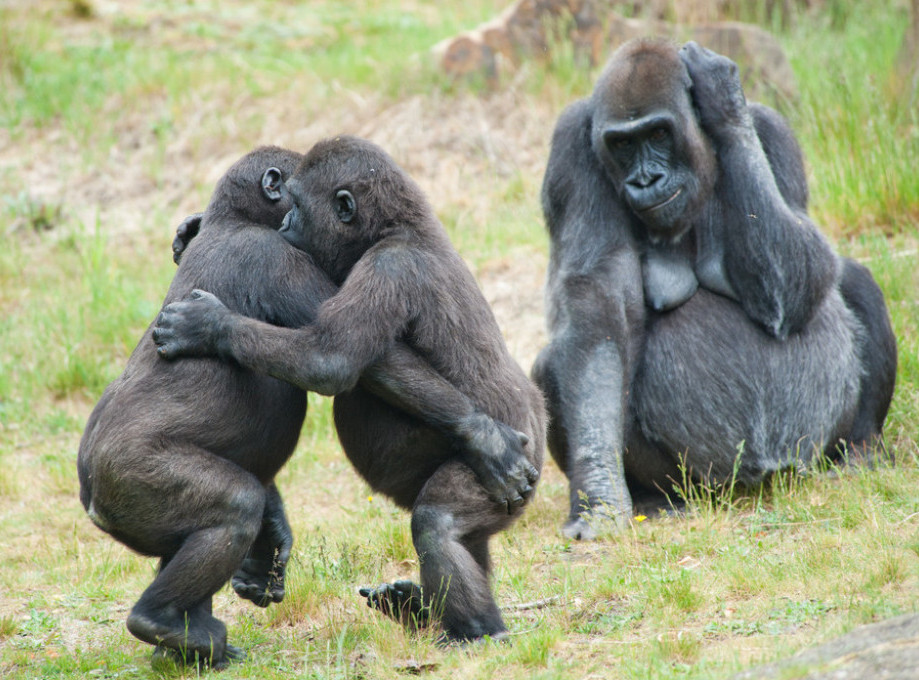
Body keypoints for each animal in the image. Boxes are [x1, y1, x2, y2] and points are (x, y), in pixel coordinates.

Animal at [532, 39, 900, 540]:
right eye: (622, 144)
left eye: (659, 134)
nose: (646, 180)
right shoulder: (571, 146)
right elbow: (598, 319)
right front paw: (601, 494)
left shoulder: (773, 129)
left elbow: (802, 278)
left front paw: (724, 102)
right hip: (699, 482)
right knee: (555, 361)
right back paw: (656, 497)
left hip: (811, 453)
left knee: (853, 280)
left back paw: (861, 450)